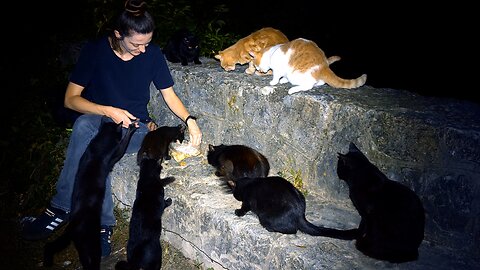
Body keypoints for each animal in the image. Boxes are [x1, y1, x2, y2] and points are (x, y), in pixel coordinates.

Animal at [43, 118, 137, 270]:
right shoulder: (116, 153)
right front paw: (131, 127)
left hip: (81, 246)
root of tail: (72, 224)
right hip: (91, 243)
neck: (98, 144)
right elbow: (123, 143)